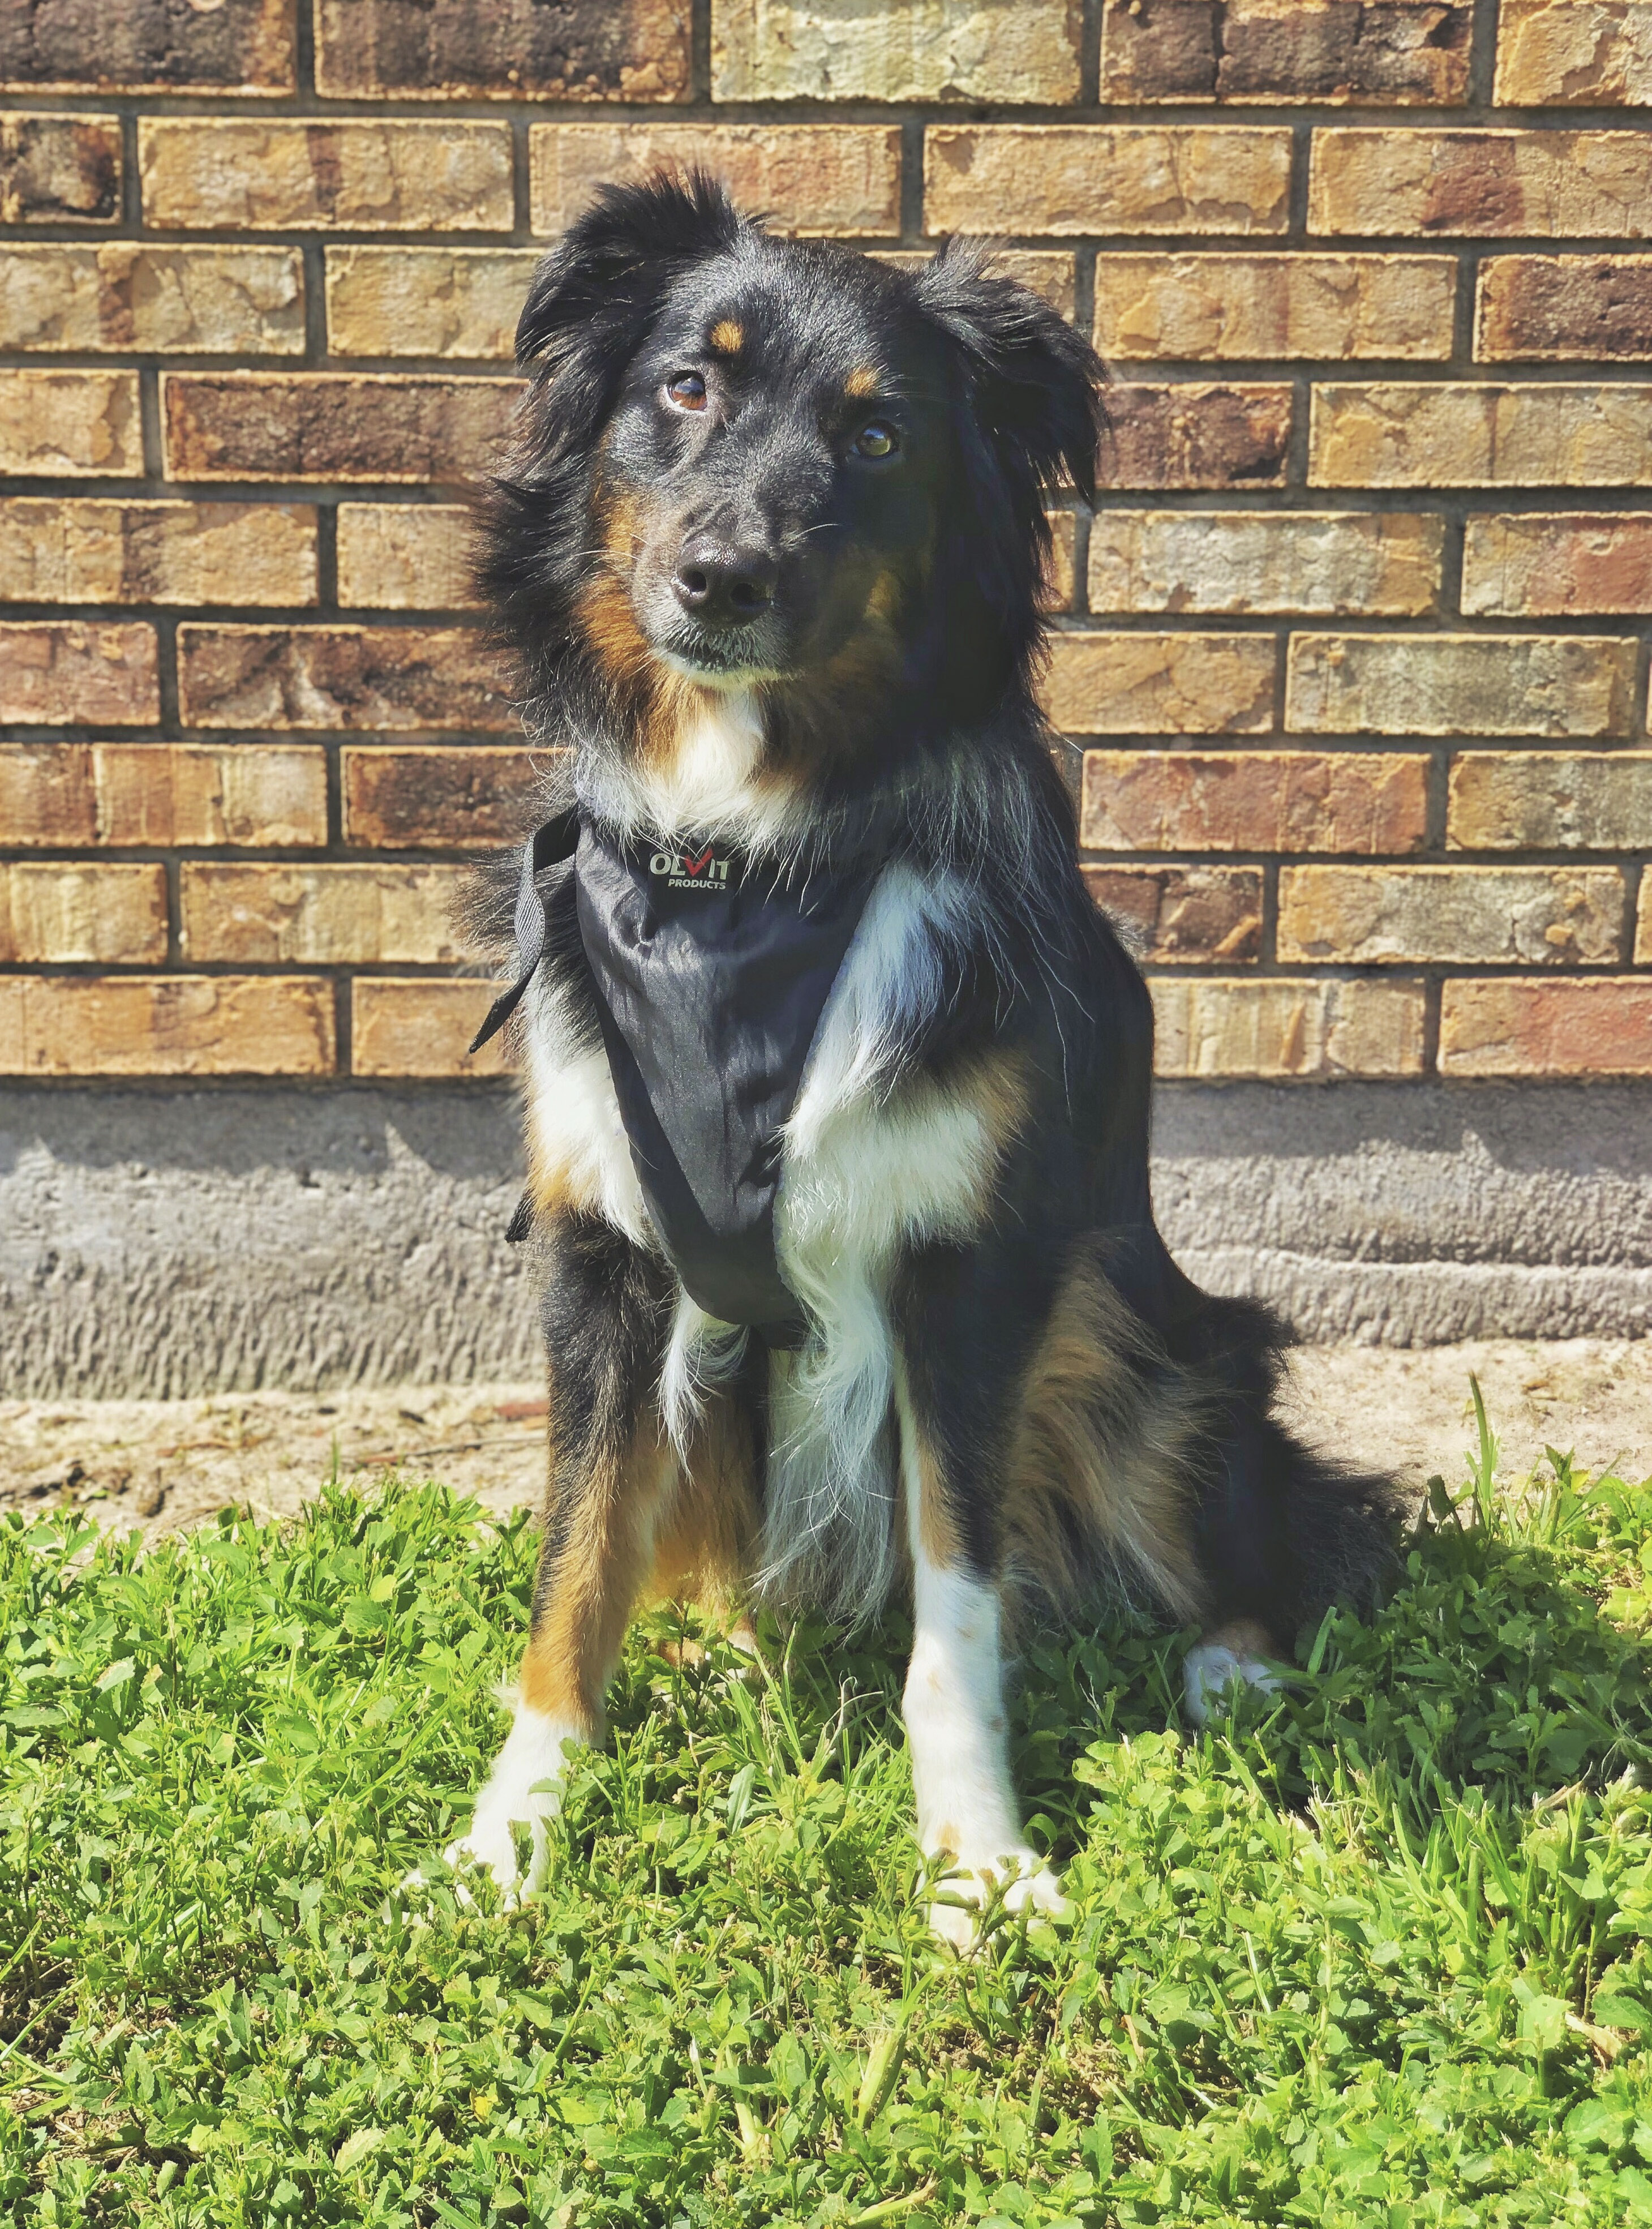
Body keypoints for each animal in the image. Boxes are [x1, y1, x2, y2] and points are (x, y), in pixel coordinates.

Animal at [439, 174, 1391, 1943]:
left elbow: (959, 1595)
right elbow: (574, 1559)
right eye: (685, 386)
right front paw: (507, 1835)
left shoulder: (974, 1264)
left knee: (1250, 1520)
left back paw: (1230, 1666)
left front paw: (977, 1859)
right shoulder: (607, 1255)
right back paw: (732, 1651)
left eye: (878, 438)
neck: (742, 865)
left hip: (1147, 1349)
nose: (720, 578)